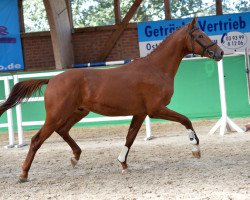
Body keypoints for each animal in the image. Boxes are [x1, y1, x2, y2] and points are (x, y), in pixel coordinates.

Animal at [0, 18, 223, 182]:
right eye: (200, 35)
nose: (219, 52)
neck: (156, 69)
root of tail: (52, 79)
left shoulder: (140, 113)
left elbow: (130, 138)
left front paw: (123, 163)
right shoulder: (155, 109)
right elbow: (186, 120)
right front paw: (195, 149)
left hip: (78, 112)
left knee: (62, 130)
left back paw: (75, 157)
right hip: (56, 115)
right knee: (37, 140)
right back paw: (23, 174)